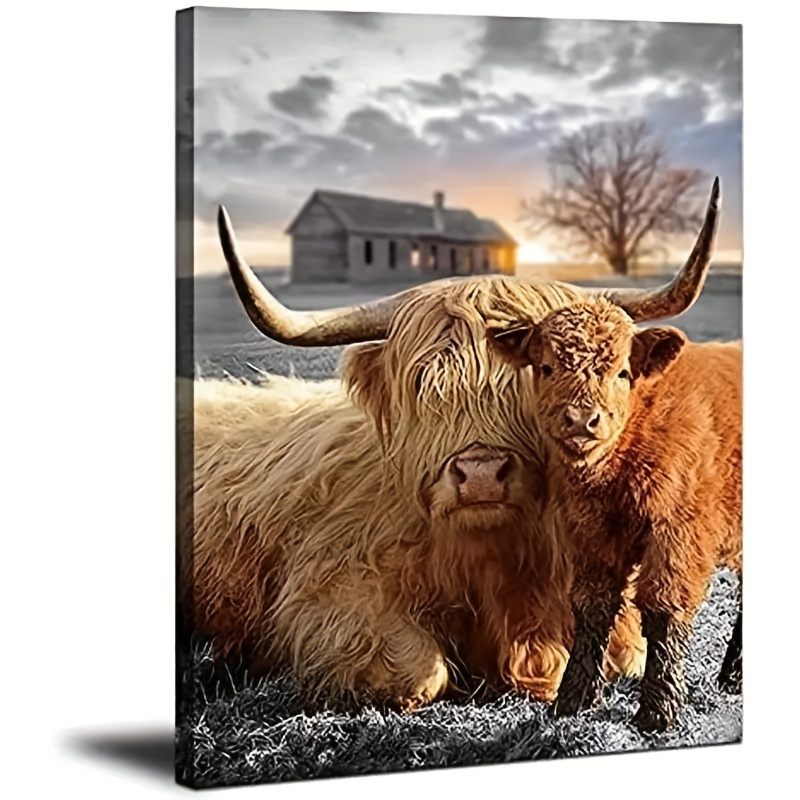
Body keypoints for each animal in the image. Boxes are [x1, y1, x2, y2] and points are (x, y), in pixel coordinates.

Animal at [178, 178, 721, 712]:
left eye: (537, 374)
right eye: (424, 385)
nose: (480, 476)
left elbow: (621, 652)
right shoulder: (324, 597)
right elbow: (419, 672)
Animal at [487, 272, 741, 733]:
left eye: (623, 372)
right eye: (547, 367)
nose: (581, 420)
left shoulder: (679, 532)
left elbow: (663, 609)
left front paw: (658, 711)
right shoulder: (590, 532)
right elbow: (592, 605)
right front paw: (572, 701)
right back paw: (733, 677)